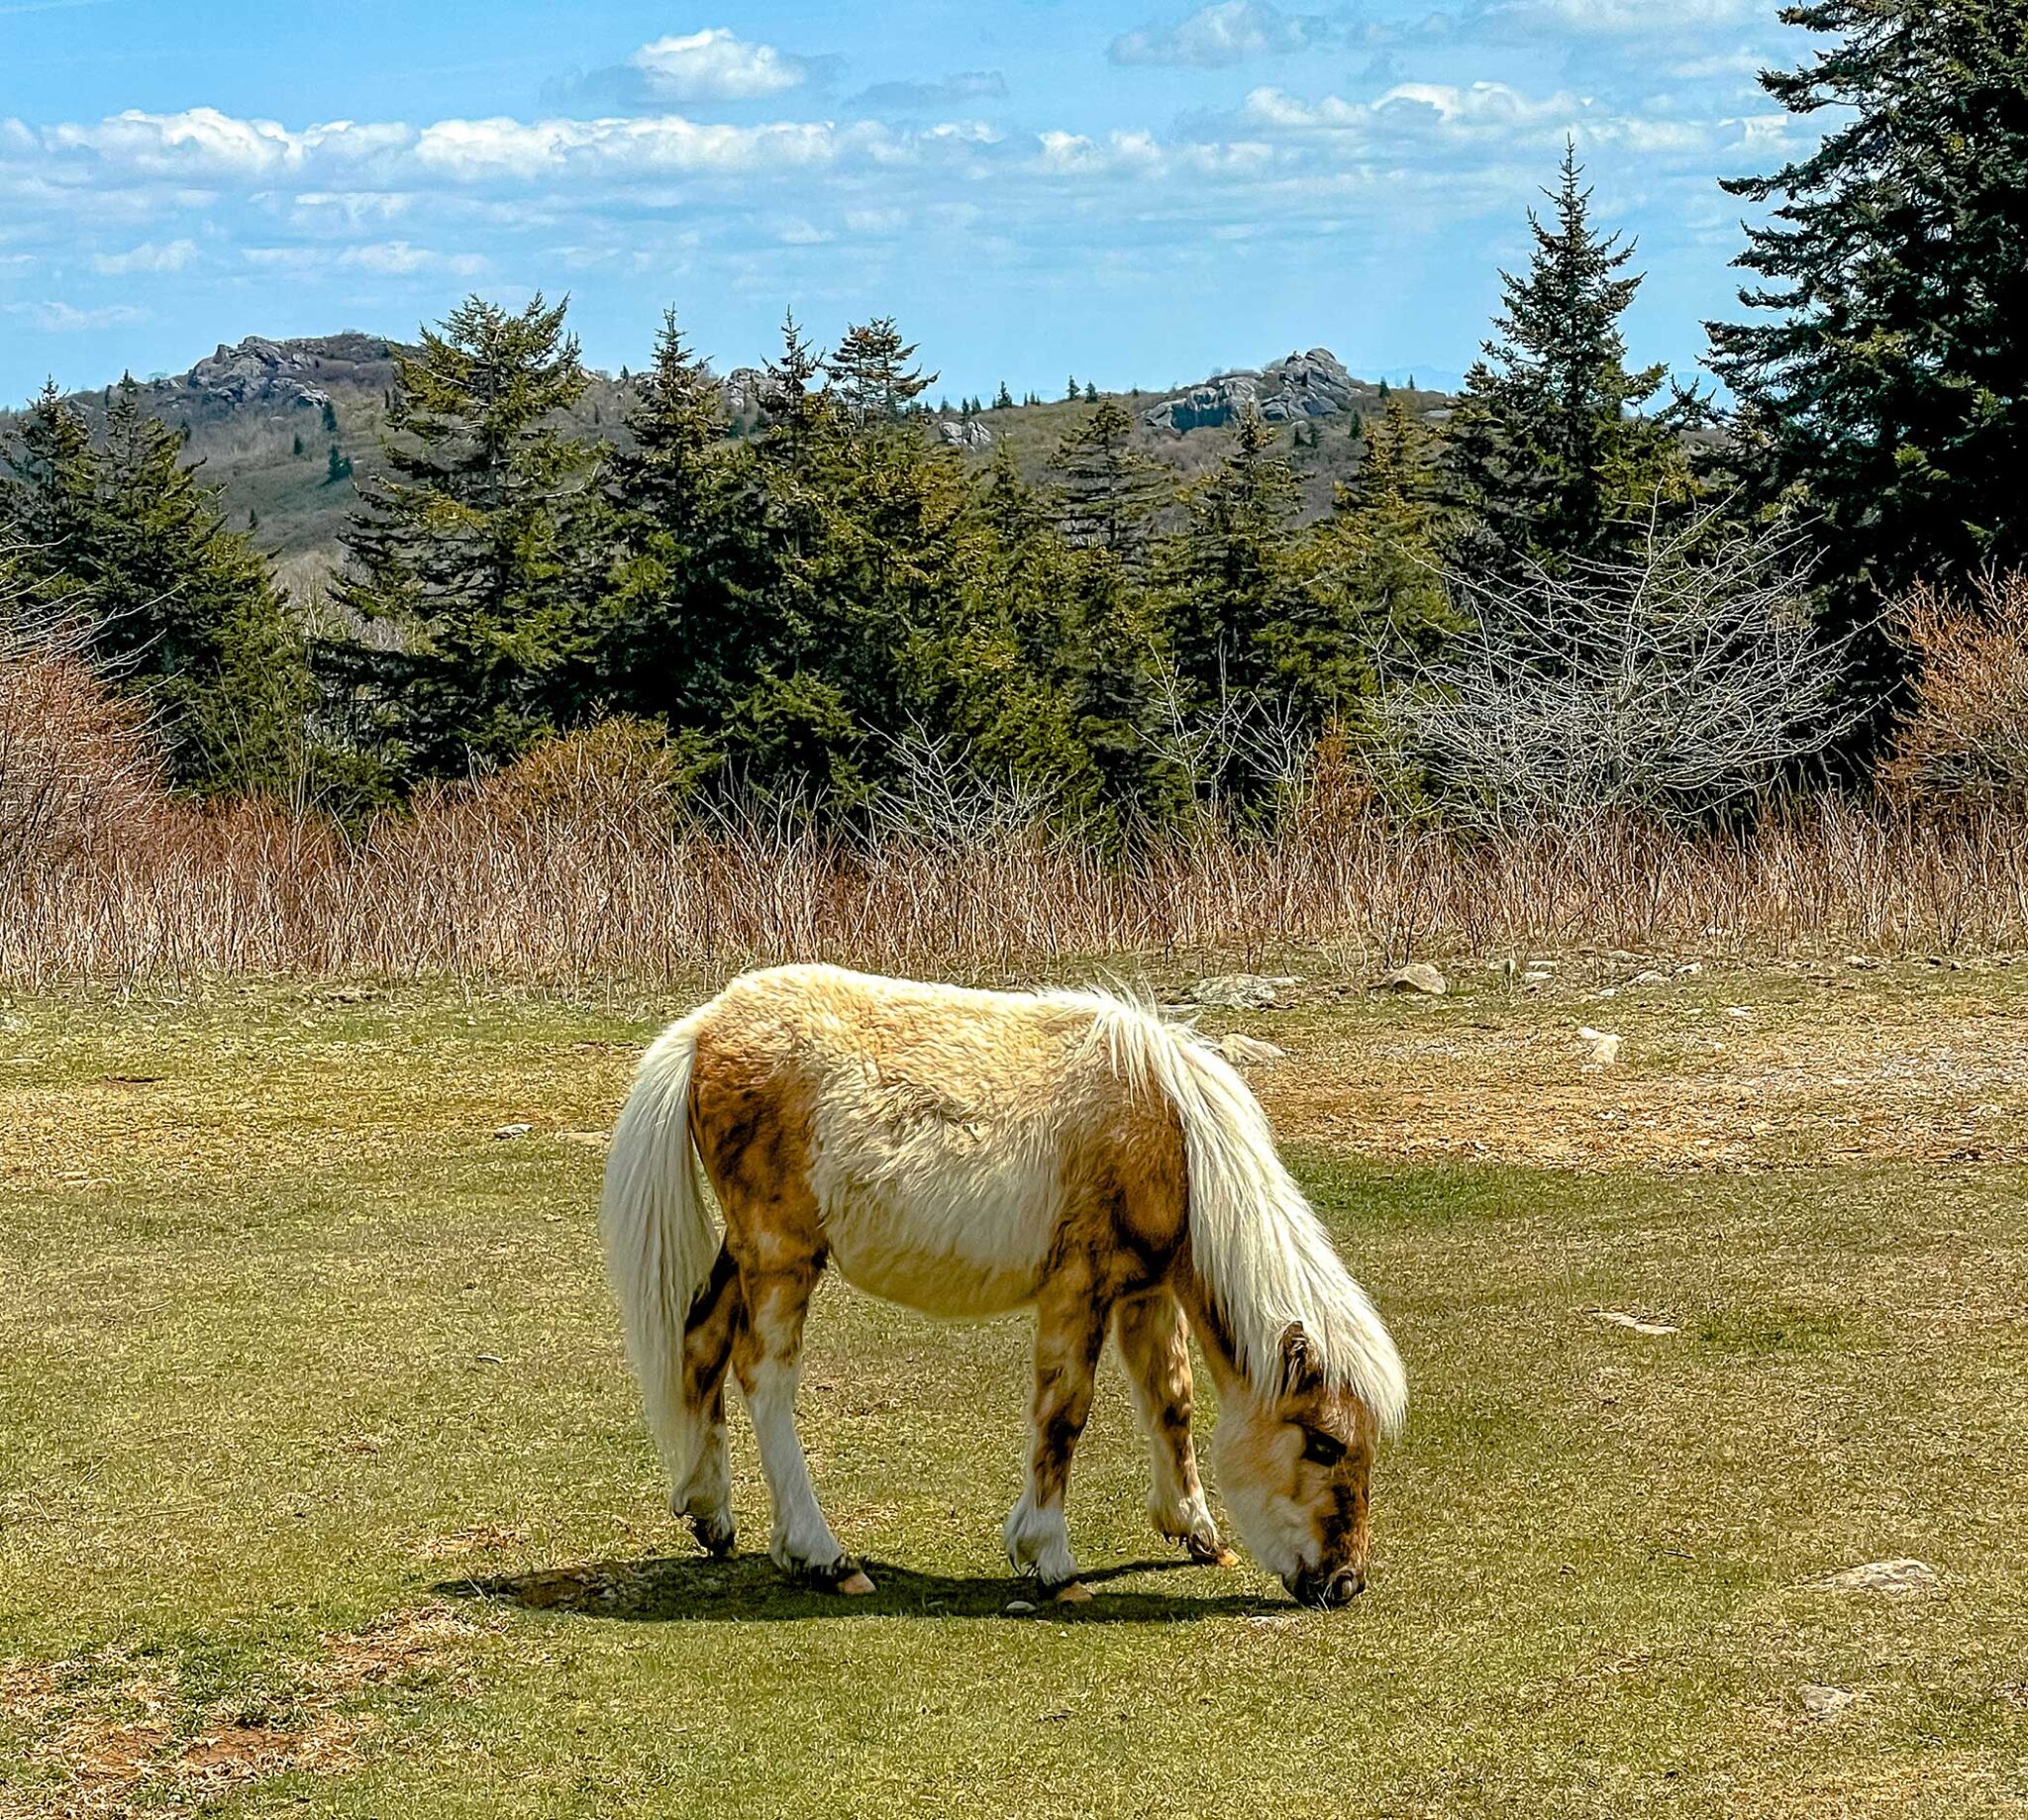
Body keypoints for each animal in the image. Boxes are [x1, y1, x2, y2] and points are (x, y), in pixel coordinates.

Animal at [592, 965, 1403, 1606]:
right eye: (1325, 1442)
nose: (1344, 1583)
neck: (1172, 1135)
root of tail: (704, 1029)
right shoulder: (1080, 1288)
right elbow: (1064, 1413)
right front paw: (1049, 1557)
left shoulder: (1146, 1292)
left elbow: (1171, 1400)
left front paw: (1195, 1529)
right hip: (780, 1253)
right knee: (764, 1378)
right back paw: (821, 1555)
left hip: (747, 1250)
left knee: (701, 1341)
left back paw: (710, 1511)